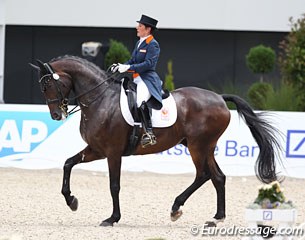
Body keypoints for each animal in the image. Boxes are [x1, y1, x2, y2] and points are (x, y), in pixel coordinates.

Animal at [31, 55, 280, 227]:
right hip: (205, 147)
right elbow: (68, 163)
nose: (56, 115)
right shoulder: (96, 149)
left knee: (203, 175)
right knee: (218, 177)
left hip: (198, 146)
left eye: (48, 85)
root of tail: (219, 98)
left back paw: (176, 208)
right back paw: (216, 218)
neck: (100, 101)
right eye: (42, 88)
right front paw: (71, 201)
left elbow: (114, 185)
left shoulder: (112, 152)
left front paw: (112, 218)